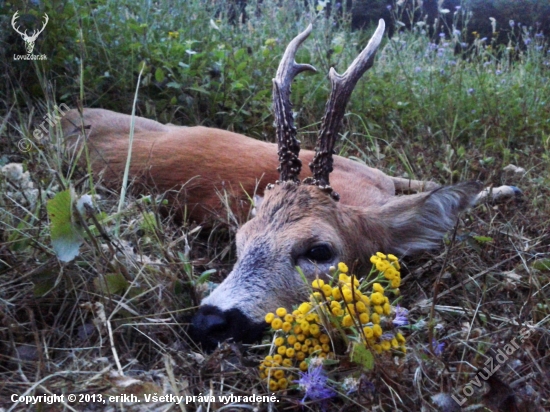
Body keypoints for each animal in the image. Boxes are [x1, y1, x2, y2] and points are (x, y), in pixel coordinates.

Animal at [61, 18, 520, 348]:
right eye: (240, 241)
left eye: (319, 250)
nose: (208, 322)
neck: (362, 195)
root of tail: (63, 116)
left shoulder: (373, 172)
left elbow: (426, 180)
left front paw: (503, 186)